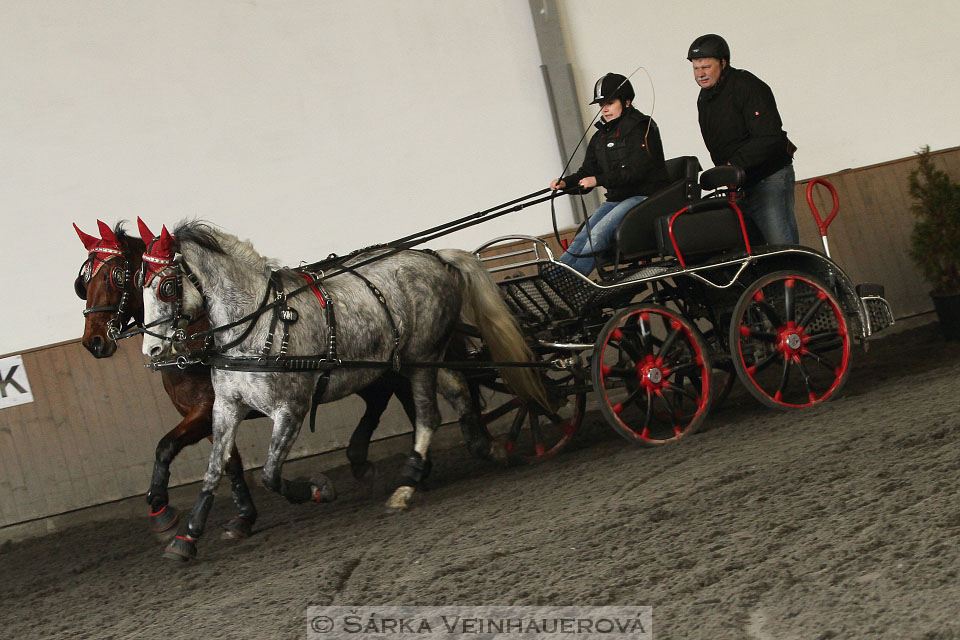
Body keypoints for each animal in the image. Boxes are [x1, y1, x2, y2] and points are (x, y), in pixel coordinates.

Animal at [73, 222, 418, 536]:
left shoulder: (203, 410)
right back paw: (367, 462)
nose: (93, 342)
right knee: (383, 396)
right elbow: (229, 462)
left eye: (117, 276)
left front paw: (160, 507)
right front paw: (243, 516)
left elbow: (166, 446)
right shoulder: (217, 410)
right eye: (83, 282)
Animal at [138, 220, 544, 560]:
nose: (151, 350)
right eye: (140, 284)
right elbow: (214, 469)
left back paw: (408, 483)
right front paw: (186, 537)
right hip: (423, 358)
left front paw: (319, 490)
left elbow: (270, 474)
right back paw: (488, 448)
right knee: (458, 391)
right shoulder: (225, 407)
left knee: (428, 415)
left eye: (166, 286)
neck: (256, 325)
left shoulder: (291, 407)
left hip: (420, 358)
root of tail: (433, 255)